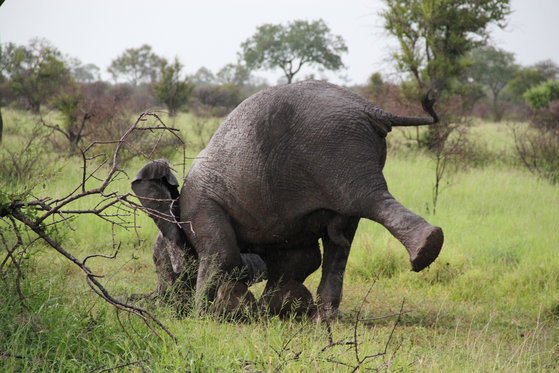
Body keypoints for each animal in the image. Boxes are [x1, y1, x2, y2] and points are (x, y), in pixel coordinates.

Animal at [133, 80, 444, 318]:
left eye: (157, 262)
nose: (167, 306)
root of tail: (370, 109)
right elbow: (300, 259)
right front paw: (272, 308)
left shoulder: (200, 207)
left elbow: (224, 255)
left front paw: (204, 317)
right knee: (343, 239)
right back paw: (325, 317)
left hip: (336, 152)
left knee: (367, 200)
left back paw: (426, 249)